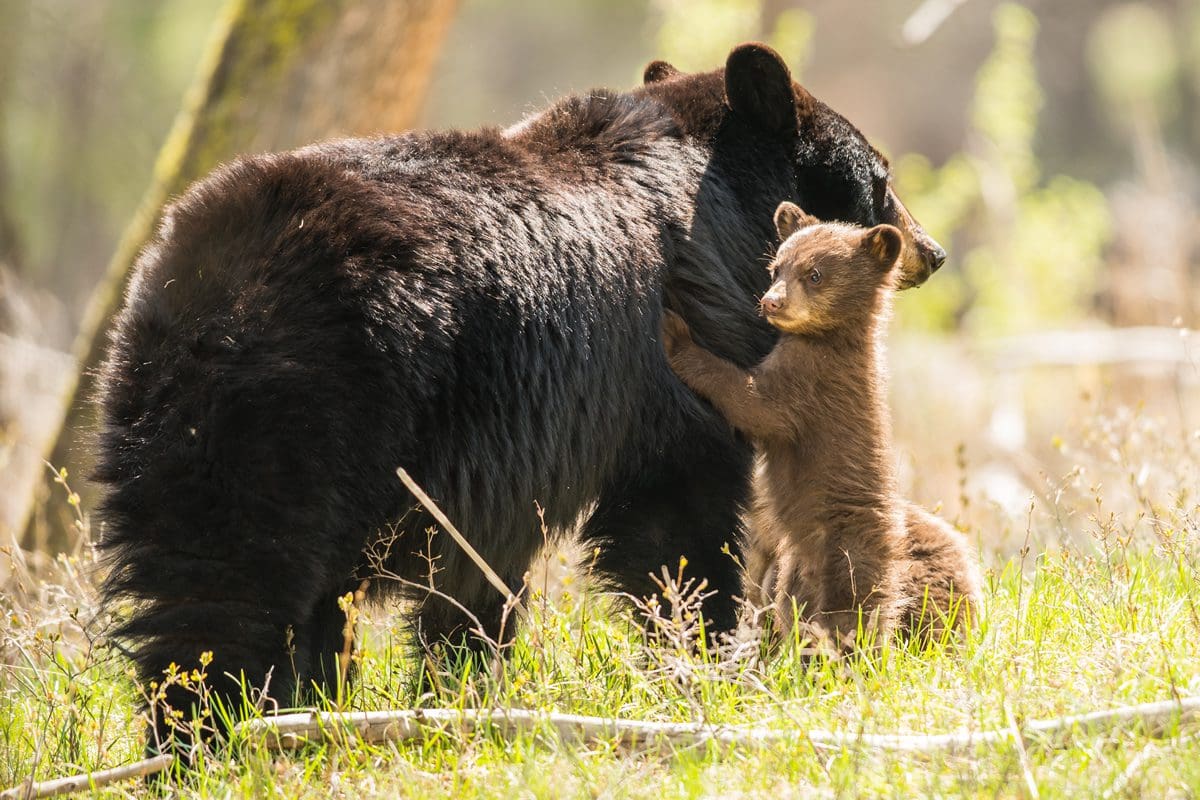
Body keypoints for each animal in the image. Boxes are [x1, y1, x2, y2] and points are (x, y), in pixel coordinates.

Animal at [92, 44, 947, 752]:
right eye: (881, 179)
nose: (930, 252)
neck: (720, 208)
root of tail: (210, 286)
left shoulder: (501, 458)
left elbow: (480, 579)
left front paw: (458, 687)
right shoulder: (649, 386)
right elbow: (675, 521)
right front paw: (701, 653)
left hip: (160, 418)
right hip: (303, 413)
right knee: (229, 591)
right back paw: (214, 739)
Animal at [661, 201, 979, 652]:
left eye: (814, 274)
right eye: (777, 267)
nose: (772, 303)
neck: (827, 339)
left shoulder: (812, 386)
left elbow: (756, 404)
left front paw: (676, 333)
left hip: (842, 555)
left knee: (843, 616)